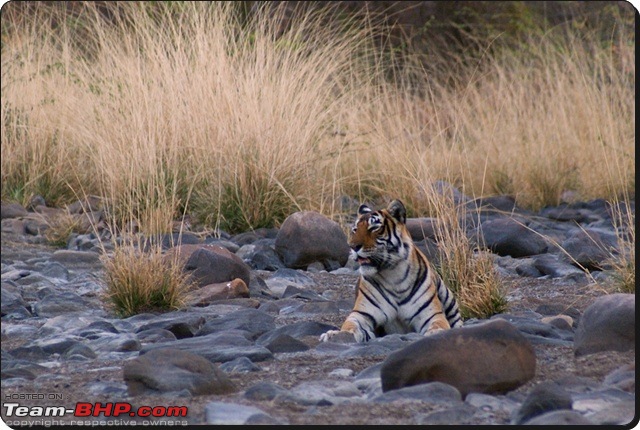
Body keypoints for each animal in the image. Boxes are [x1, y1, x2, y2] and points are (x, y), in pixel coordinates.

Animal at [318, 198, 460, 342]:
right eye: (355, 230)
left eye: (374, 228)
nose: (352, 246)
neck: (393, 274)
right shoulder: (362, 314)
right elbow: (349, 325)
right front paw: (336, 335)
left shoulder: (432, 315)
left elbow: (438, 325)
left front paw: (435, 334)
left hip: (447, 296)